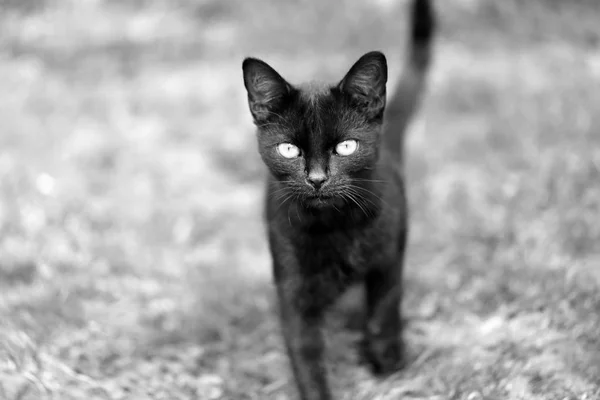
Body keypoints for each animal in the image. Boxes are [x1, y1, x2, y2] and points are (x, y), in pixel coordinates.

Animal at [241, 0, 434, 396]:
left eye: (346, 146)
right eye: (289, 149)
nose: (317, 179)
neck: (335, 227)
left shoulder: (388, 257)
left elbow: (383, 310)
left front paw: (387, 363)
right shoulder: (292, 287)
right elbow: (305, 354)